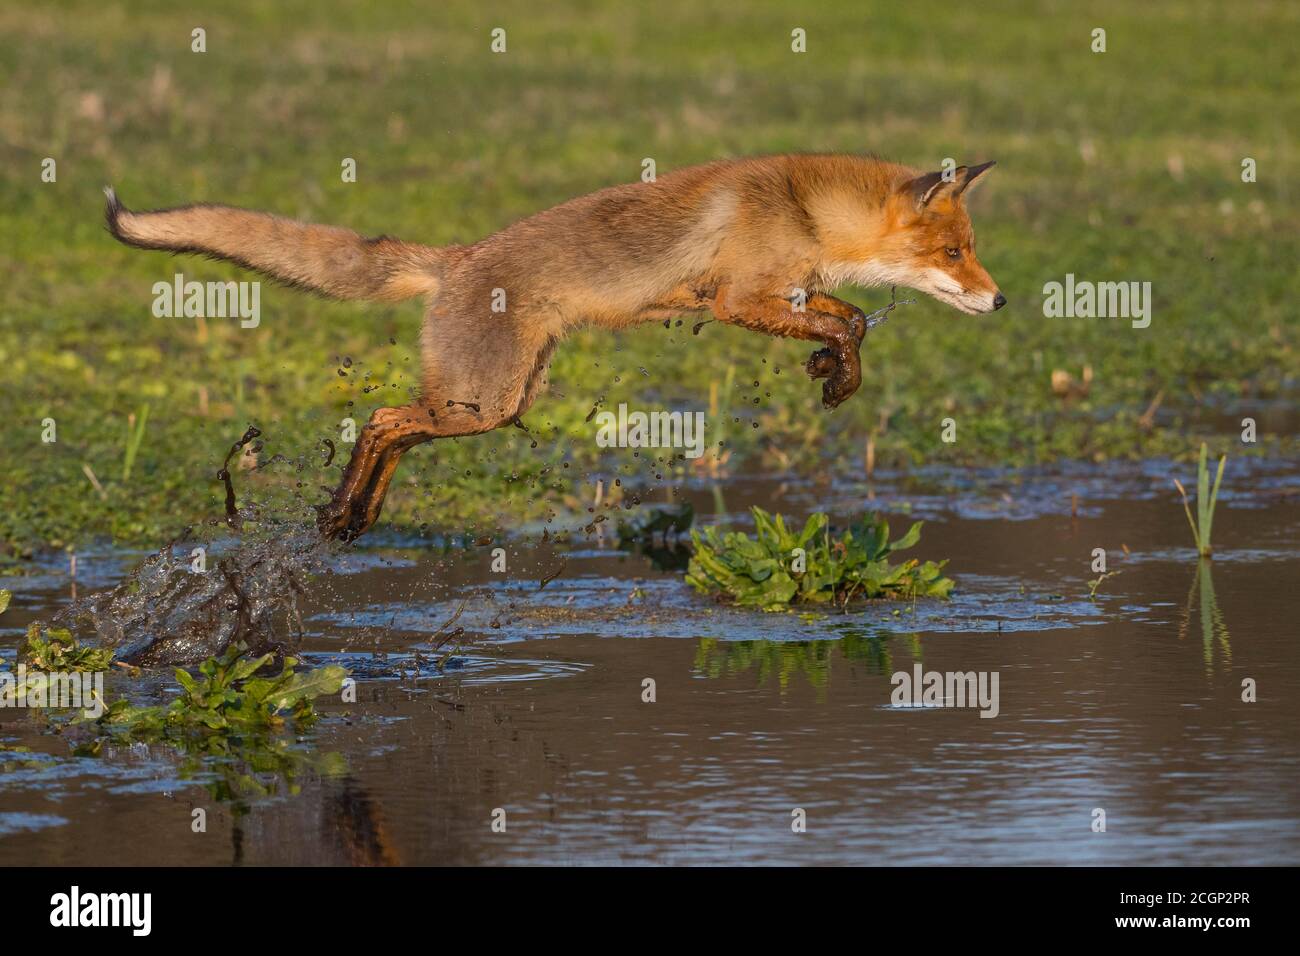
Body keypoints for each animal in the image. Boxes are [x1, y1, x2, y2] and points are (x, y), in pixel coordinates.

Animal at [109, 154, 1003, 541]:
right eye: (955, 252)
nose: (1001, 300)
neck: (806, 209)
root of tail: (456, 258)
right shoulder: (736, 298)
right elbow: (845, 319)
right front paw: (837, 372)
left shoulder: (781, 294)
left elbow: (849, 319)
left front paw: (834, 370)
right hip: (483, 403)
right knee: (383, 420)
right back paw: (342, 512)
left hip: (499, 402)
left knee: (395, 426)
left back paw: (354, 515)